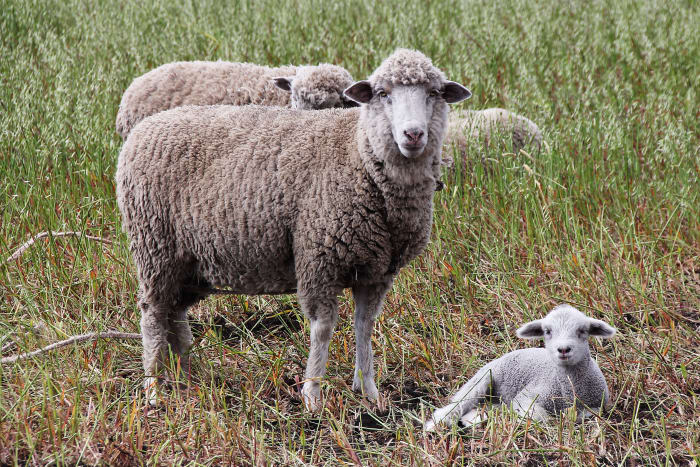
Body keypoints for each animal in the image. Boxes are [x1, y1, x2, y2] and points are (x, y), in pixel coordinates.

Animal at [424, 304, 616, 431]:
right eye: (547, 331)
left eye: (583, 331)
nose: (563, 349)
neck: (568, 390)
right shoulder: (527, 396)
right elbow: (541, 417)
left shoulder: (598, 406)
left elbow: (582, 414)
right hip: (483, 378)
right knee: (461, 401)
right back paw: (438, 422)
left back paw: (472, 419)